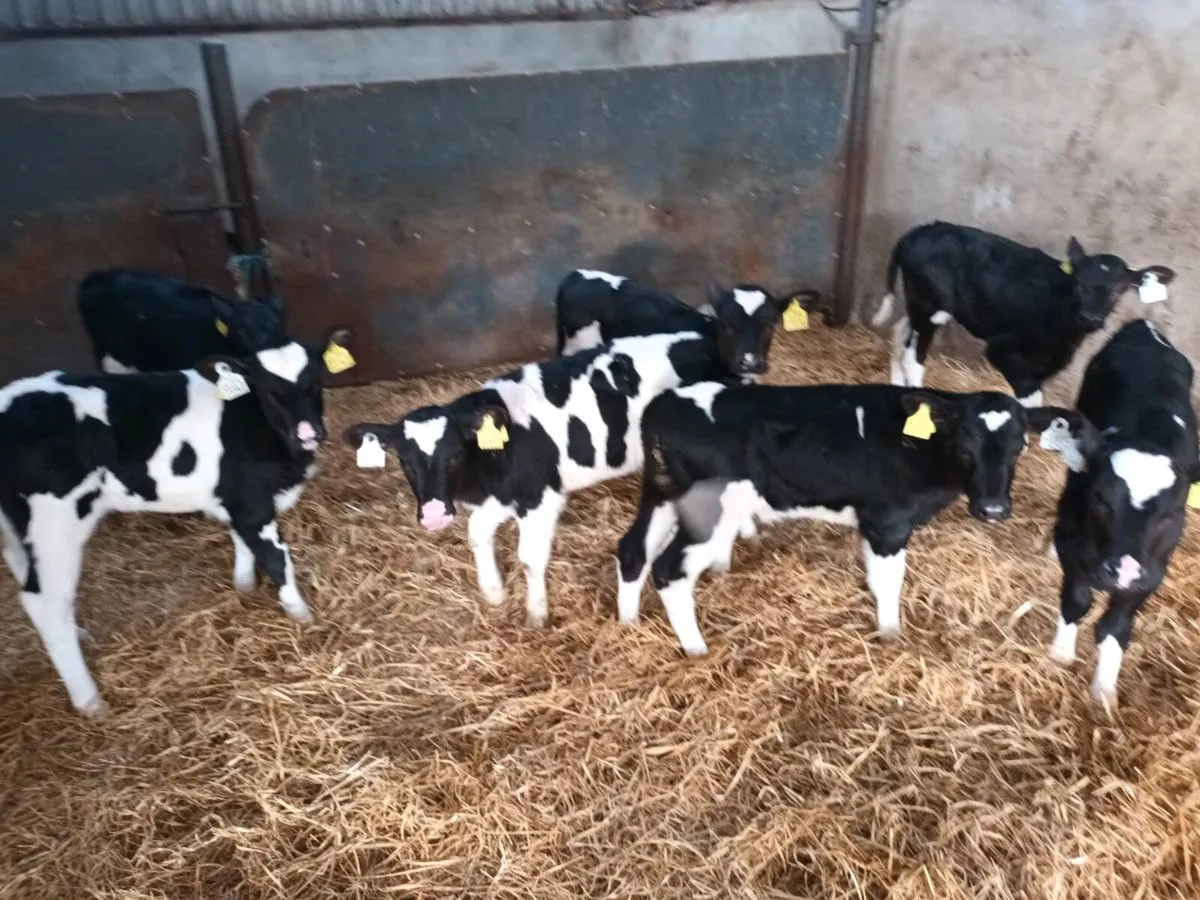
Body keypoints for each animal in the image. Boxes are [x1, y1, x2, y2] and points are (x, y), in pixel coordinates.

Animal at [0, 327, 353, 716]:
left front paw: (244, 584)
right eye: (266, 388)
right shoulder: (253, 499)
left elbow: (242, 540)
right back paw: (89, 700)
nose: (308, 432)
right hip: (56, 520)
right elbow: (275, 555)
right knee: (45, 601)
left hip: (20, 527)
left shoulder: (235, 496)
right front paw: (300, 612)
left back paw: (78, 634)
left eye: (316, 380)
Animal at [343, 331, 734, 631]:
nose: (435, 514)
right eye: (404, 460)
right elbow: (477, 532)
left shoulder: (541, 497)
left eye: (454, 453)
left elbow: (529, 558)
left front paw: (536, 614)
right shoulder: (502, 497)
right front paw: (494, 593)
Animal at [615, 381, 1076, 656]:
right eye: (964, 446)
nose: (993, 509)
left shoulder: (874, 522)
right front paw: (890, 634)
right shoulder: (890, 521)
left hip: (661, 492)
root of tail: (665, 402)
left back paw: (628, 623)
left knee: (633, 550)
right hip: (710, 506)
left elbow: (874, 575)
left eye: (1019, 447)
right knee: (669, 570)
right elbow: (889, 581)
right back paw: (697, 649)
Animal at [874, 222, 1176, 407]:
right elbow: (1031, 399)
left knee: (900, 333)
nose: (1090, 318)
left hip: (921, 303)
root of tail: (920, 229)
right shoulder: (1002, 349)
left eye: (1118, 290)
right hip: (930, 305)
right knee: (914, 356)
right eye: (1079, 282)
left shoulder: (1050, 363)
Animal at [1035, 319, 1198, 706]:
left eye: (1171, 515)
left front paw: (1104, 691)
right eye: (1099, 500)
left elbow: (1116, 626)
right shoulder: (1075, 545)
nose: (1122, 569)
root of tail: (1145, 326)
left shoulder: (1151, 572)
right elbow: (1077, 599)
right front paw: (1061, 653)